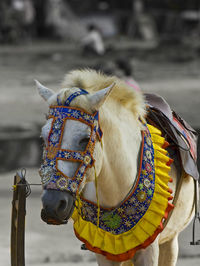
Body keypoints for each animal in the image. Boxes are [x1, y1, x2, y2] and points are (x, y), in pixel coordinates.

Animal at [36, 69, 195, 264]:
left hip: (171, 240)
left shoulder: (149, 247)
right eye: (43, 138)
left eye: (85, 139)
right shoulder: (105, 251)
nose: (52, 205)